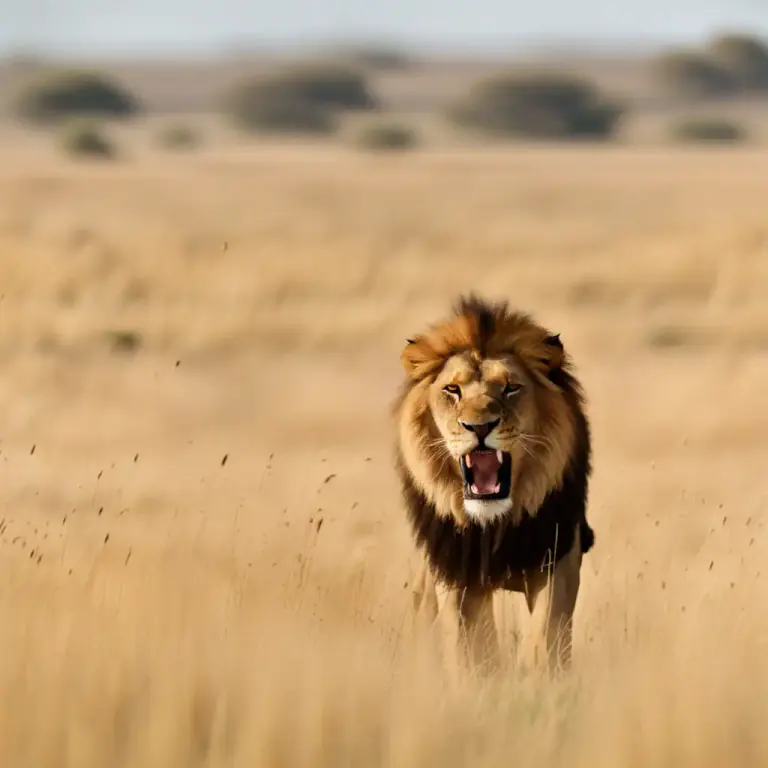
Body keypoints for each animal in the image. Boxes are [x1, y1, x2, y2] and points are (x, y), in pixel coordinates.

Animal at [394, 294, 594, 674]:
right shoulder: (456, 571)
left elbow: (545, 638)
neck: (496, 525)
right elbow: (470, 652)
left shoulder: (557, 558)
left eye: (511, 387)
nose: (479, 426)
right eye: (452, 390)